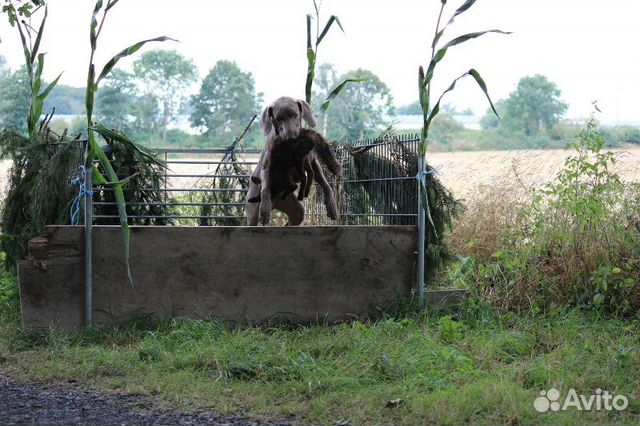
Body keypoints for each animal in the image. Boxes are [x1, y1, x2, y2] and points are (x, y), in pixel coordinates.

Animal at [246, 95, 340, 223]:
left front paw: (331, 203)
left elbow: (324, 181)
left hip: (295, 209)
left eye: (294, 115)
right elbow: (265, 187)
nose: (291, 138)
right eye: (278, 118)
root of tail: (275, 202)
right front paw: (265, 207)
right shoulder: (268, 165)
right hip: (253, 213)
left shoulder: (312, 161)